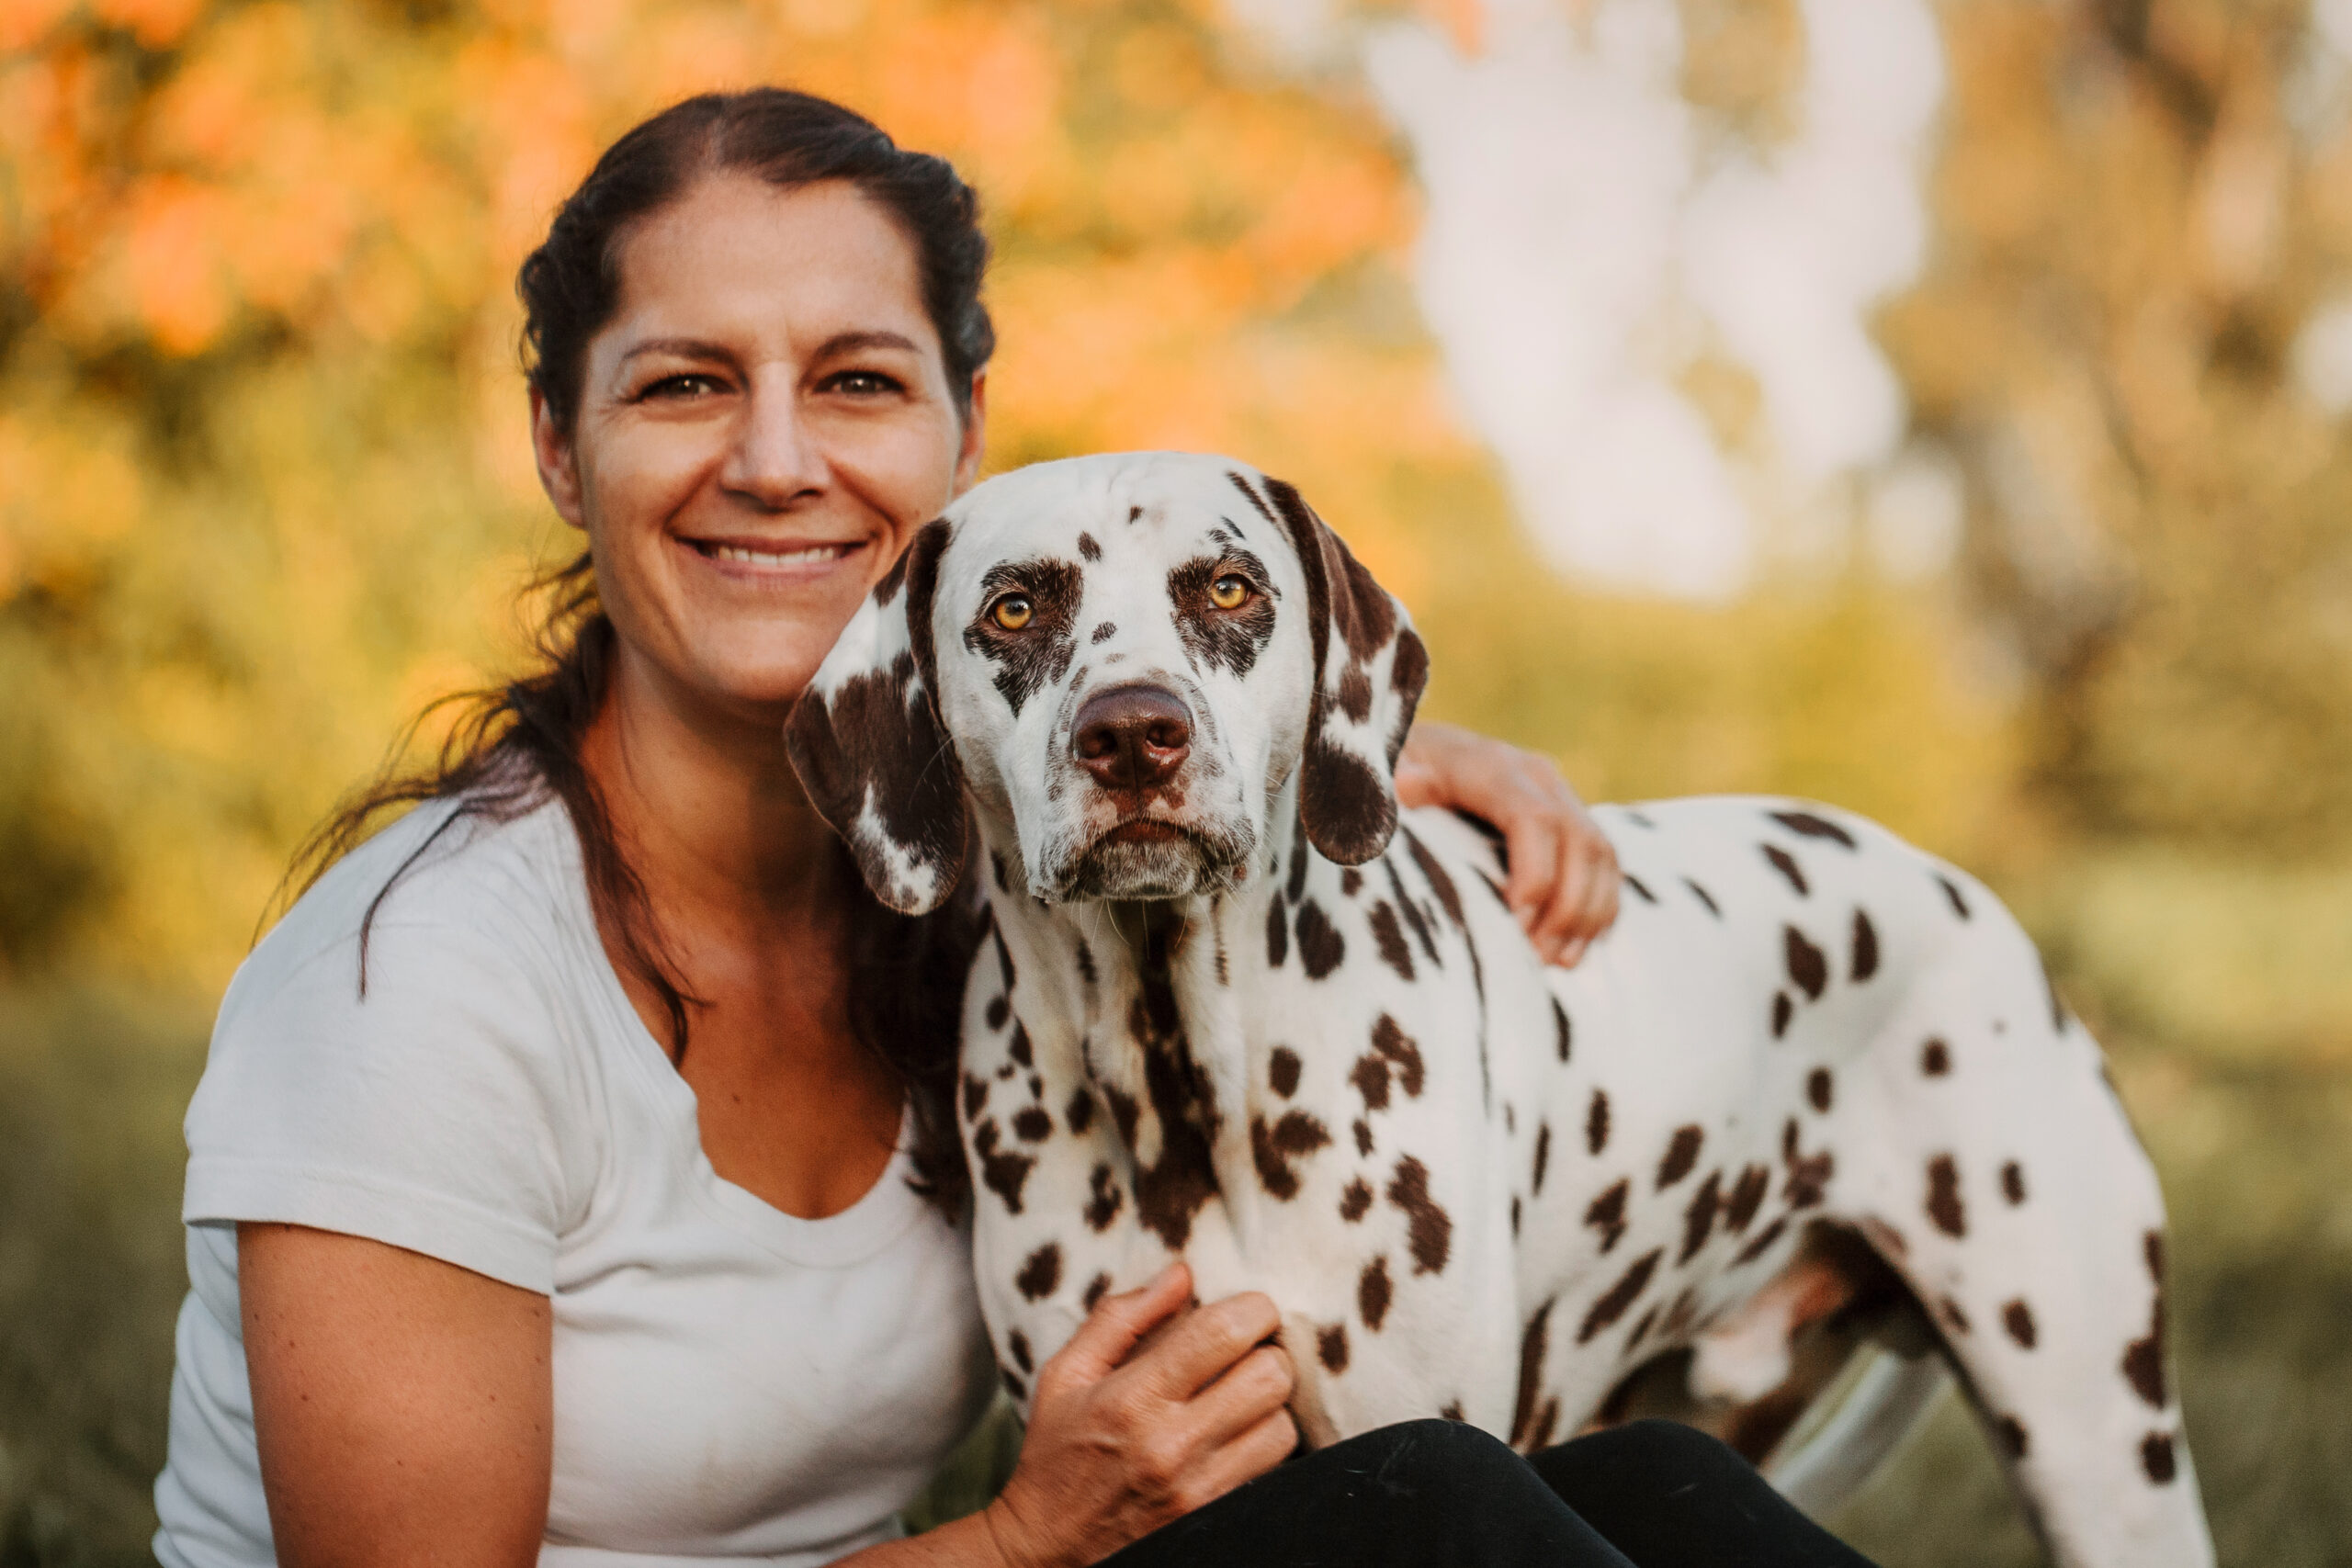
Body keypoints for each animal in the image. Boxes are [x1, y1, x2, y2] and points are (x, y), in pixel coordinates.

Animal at [786, 446, 2201, 1561]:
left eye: (1228, 587)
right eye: (1016, 605)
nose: (1133, 735)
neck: (1185, 1071)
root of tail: (1966, 898)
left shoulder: (1425, 1434)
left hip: (2103, 1450)